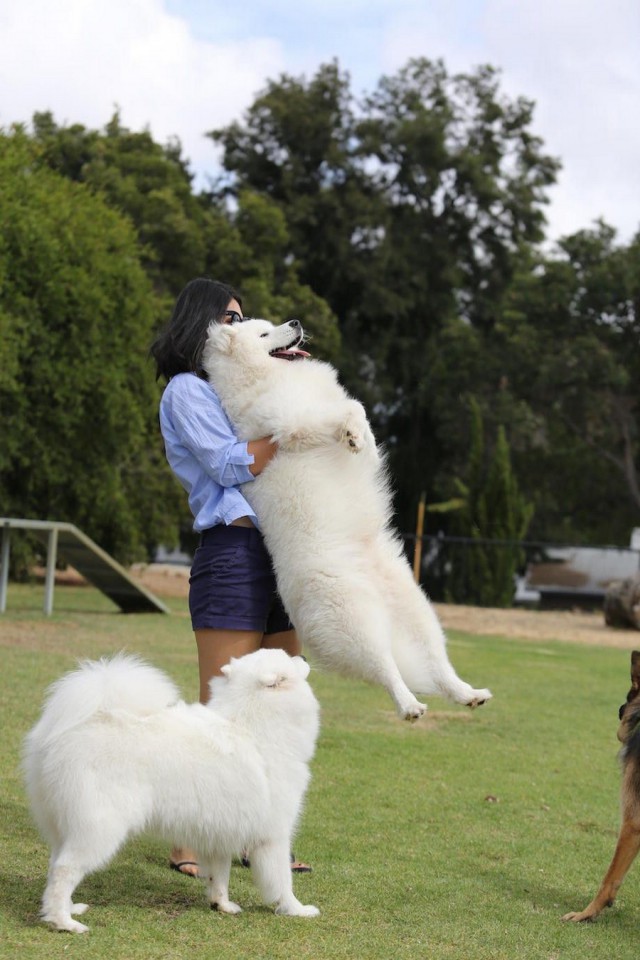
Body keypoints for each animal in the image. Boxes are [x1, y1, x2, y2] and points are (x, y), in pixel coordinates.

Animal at [23, 644, 320, 928]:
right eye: (289, 658)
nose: (305, 656)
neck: (253, 725)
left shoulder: (220, 833)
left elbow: (219, 876)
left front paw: (222, 905)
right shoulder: (274, 835)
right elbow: (283, 881)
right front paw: (297, 909)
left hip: (63, 826)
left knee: (54, 866)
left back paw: (67, 908)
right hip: (100, 828)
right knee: (64, 869)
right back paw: (64, 922)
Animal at [202, 318, 492, 724]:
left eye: (270, 325)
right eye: (263, 334)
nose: (295, 322)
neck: (266, 376)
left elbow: (356, 410)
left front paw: (362, 438)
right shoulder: (293, 423)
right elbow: (347, 409)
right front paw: (353, 433)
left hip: (416, 612)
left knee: (436, 664)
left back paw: (468, 694)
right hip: (353, 622)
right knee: (386, 669)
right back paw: (410, 706)